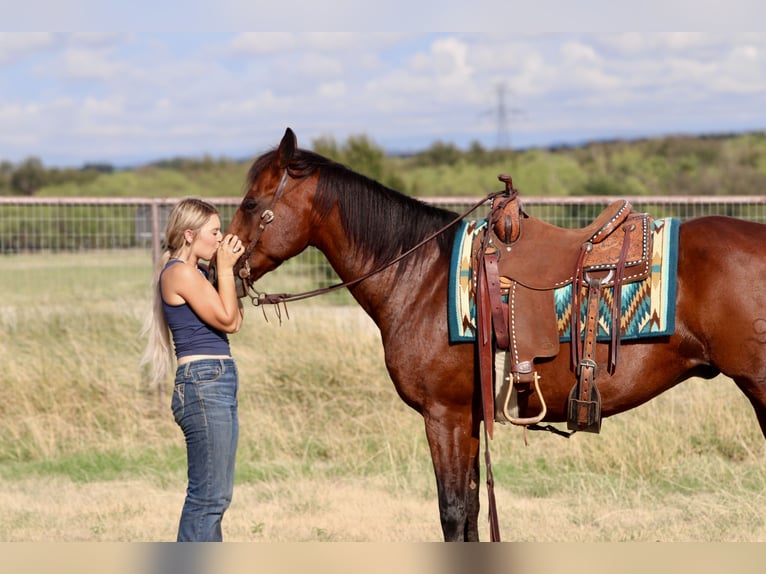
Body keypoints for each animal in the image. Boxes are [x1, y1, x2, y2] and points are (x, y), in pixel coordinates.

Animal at [219, 127, 766, 542]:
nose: (216, 264)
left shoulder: (444, 415)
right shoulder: (467, 417)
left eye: (250, 202)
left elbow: (453, 512)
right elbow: (473, 511)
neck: (420, 277)